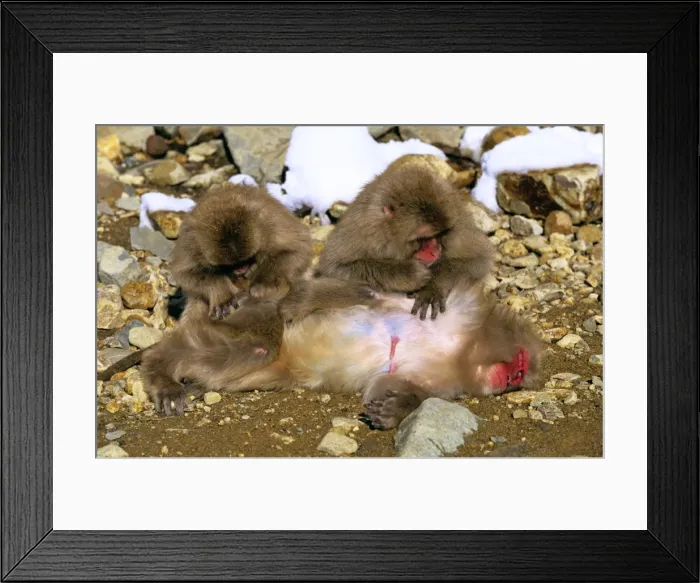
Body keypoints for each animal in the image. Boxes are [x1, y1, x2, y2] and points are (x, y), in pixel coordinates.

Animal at [142, 279, 545, 428]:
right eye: (519, 365)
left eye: (518, 377)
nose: (510, 380)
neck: (461, 347)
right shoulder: (460, 306)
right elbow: (374, 296)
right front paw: (300, 301)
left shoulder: (446, 381)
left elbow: (389, 384)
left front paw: (393, 409)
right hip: (249, 319)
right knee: (252, 343)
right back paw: (161, 373)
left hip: (268, 370)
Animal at [169, 182, 313, 321]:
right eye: (228, 266)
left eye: (247, 260)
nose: (240, 269)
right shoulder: (191, 242)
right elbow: (186, 274)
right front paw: (223, 296)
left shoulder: (271, 222)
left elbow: (298, 249)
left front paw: (261, 287)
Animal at [314, 164, 496, 321]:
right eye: (422, 238)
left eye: (441, 234)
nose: (434, 252)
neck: (393, 235)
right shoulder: (363, 229)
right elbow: (334, 267)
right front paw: (409, 274)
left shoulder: (456, 225)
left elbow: (479, 259)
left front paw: (432, 288)